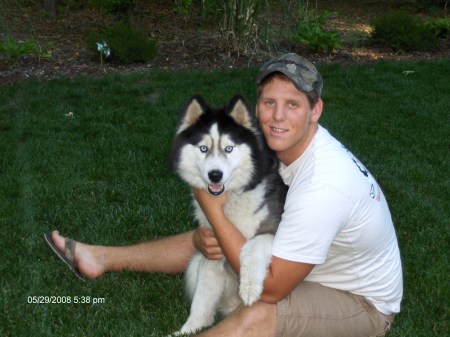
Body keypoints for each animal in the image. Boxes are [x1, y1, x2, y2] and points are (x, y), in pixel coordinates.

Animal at [169, 94, 288, 334]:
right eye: (203, 148)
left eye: (229, 148)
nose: (215, 175)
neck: (231, 197)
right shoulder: (213, 249)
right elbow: (202, 299)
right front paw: (189, 329)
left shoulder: (273, 230)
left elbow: (252, 246)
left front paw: (250, 288)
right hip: (195, 261)